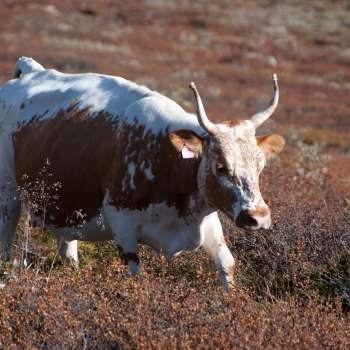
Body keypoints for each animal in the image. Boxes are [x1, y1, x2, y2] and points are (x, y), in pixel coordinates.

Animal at [0, 56, 284, 288]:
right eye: (221, 167)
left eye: (260, 166)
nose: (258, 217)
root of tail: (31, 72)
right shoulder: (123, 225)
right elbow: (136, 276)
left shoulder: (207, 220)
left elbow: (227, 263)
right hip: (7, 193)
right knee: (6, 234)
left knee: (67, 245)